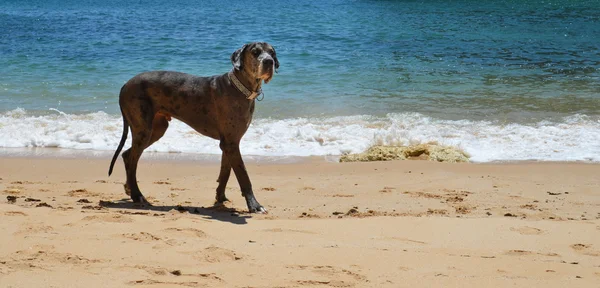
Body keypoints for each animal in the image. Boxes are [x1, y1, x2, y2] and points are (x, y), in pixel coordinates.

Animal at [107, 41, 278, 213]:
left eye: (271, 52)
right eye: (255, 52)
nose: (268, 61)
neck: (240, 87)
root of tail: (125, 85)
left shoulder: (229, 143)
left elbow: (225, 171)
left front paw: (220, 197)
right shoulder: (231, 143)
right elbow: (243, 175)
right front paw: (255, 205)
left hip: (156, 129)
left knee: (127, 155)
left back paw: (130, 189)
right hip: (143, 130)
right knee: (132, 160)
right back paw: (137, 195)